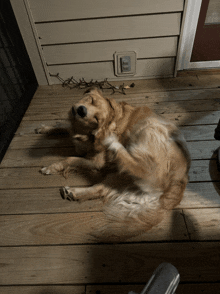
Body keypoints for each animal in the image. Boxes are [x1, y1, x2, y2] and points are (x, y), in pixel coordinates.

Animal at [36, 87, 191, 241]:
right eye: (91, 99)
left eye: (96, 119)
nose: (81, 110)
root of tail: (178, 186)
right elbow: (63, 126)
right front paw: (45, 128)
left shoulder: (97, 162)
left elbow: (70, 158)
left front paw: (52, 167)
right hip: (118, 177)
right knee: (99, 188)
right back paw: (73, 192)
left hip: (149, 129)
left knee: (140, 169)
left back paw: (113, 143)